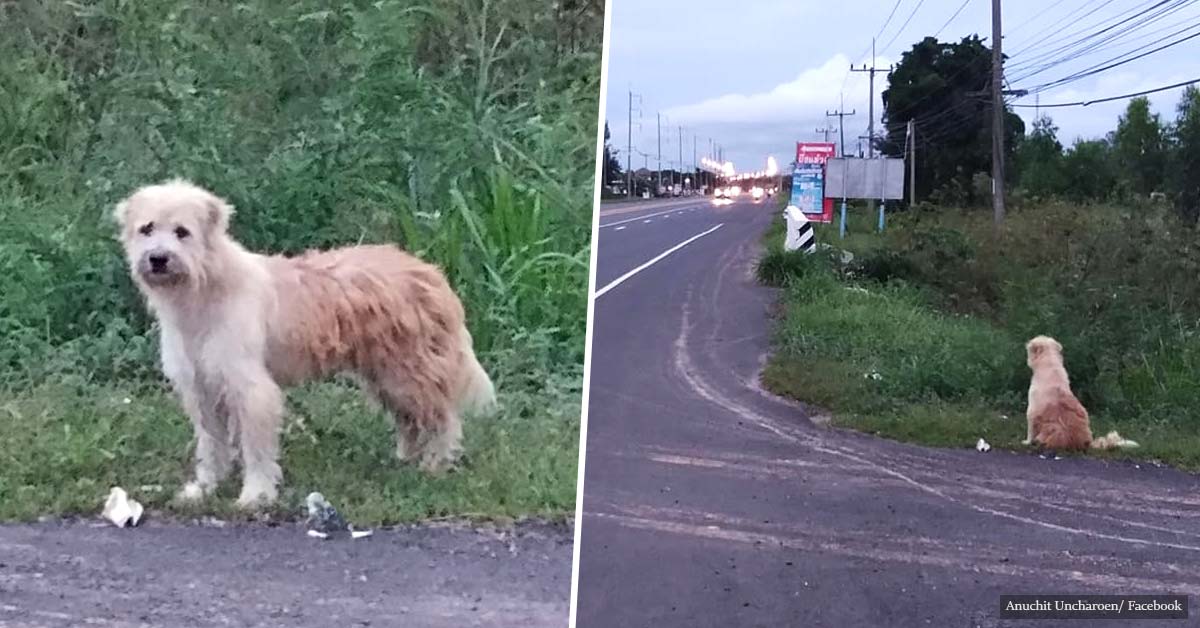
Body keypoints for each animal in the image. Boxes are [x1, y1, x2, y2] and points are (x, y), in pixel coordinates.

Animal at [113, 178, 496, 509]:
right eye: (147, 228)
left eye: (182, 232)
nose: (158, 259)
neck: (204, 288)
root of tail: (430, 273)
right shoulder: (202, 389)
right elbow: (211, 445)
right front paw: (204, 488)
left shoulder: (251, 389)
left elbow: (256, 448)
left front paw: (256, 495)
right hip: (387, 374)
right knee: (412, 420)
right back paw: (407, 458)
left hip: (409, 371)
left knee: (442, 418)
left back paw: (436, 465)